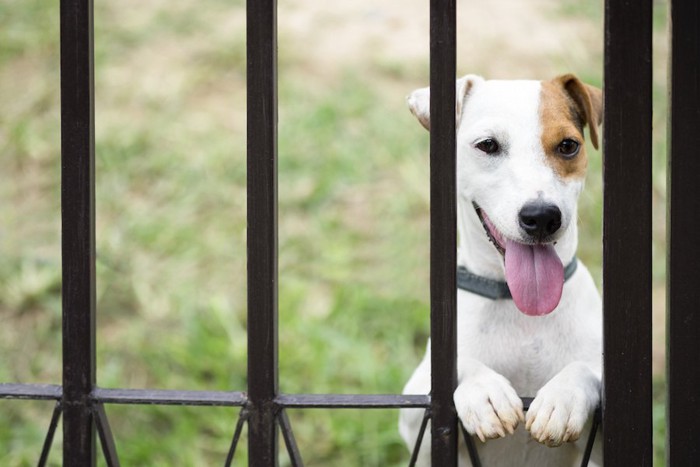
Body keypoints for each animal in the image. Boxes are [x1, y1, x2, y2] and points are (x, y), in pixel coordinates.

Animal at [402, 75, 604, 466]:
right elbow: (457, 368)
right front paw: (484, 392)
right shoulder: (417, 411)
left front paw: (563, 397)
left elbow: (586, 368)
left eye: (568, 146)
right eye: (488, 145)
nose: (542, 216)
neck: (518, 307)